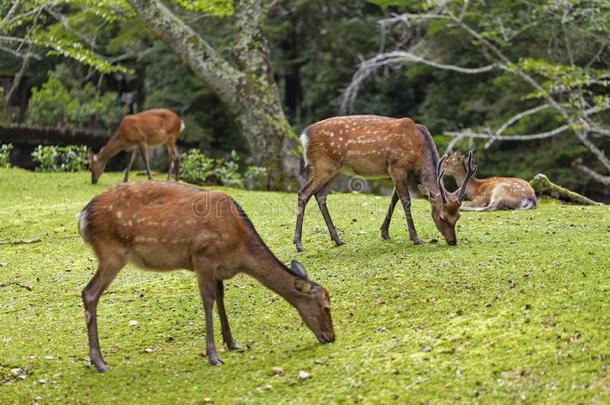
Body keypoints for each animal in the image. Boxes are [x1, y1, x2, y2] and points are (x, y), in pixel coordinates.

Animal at [79, 181, 334, 370]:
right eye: (326, 307)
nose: (331, 337)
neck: (240, 250)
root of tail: (82, 217)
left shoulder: (218, 268)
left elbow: (221, 298)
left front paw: (232, 343)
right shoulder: (203, 257)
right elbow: (208, 301)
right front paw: (213, 356)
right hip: (112, 251)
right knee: (89, 293)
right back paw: (100, 362)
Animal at [294, 114, 476, 252]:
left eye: (458, 216)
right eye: (442, 217)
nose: (452, 241)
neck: (418, 155)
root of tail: (304, 137)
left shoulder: (401, 173)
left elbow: (394, 198)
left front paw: (384, 232)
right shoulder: (397, 166)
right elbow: (405, 201)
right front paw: (416, 238)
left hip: (336, 170)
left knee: (320, 195)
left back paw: (337, 239)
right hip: (323, 165)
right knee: (303, 193)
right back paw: (299, 245)